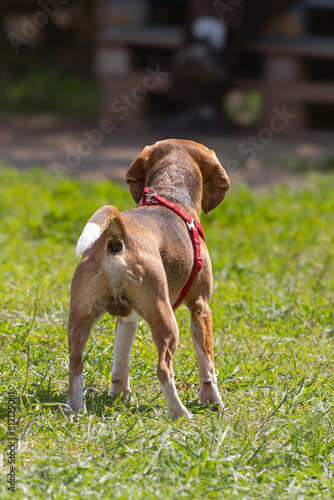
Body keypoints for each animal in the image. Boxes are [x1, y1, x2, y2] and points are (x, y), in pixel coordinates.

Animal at [67, 139, 231, 420]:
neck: (170, 197)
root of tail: (117, 234)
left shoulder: (128, 317)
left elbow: (120, 362)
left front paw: (119, 395)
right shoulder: (201, 308)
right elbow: (207, 365)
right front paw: (212, 400)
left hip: (79, 320)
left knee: (75, 365)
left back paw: (75, 410)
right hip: (166, 321)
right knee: (164, 368)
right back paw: (180, 413)